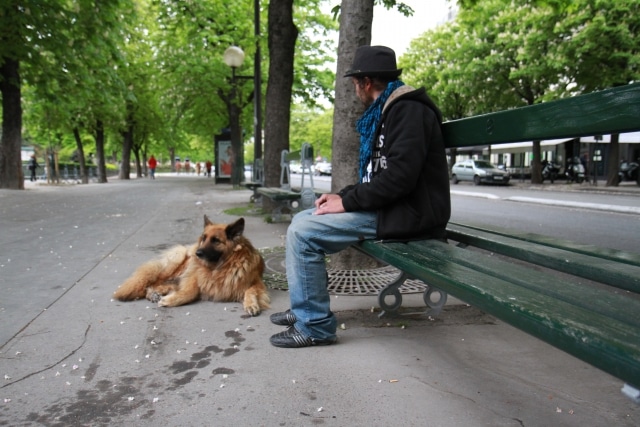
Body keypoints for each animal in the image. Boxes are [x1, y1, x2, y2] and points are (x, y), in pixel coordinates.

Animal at [112, 216, 270, 316]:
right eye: (204, 238)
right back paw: (153, 294)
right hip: (179, 261)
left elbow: (250, 291)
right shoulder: (193, 276)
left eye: (216, 240)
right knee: (154, 281)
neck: (221, 267)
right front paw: (171, 300)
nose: (197, 253)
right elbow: (190, 292)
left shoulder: (256, 283)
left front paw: (251, 304)